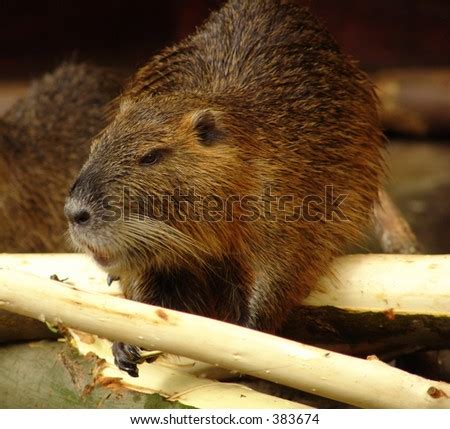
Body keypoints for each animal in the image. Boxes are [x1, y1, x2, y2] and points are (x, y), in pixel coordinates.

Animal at [66, 0, 386, 374]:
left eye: (151, 156)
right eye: (96, 144)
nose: (75, 213)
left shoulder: (290, 202)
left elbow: (282, 271)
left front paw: (245, 334)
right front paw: (126, 346)